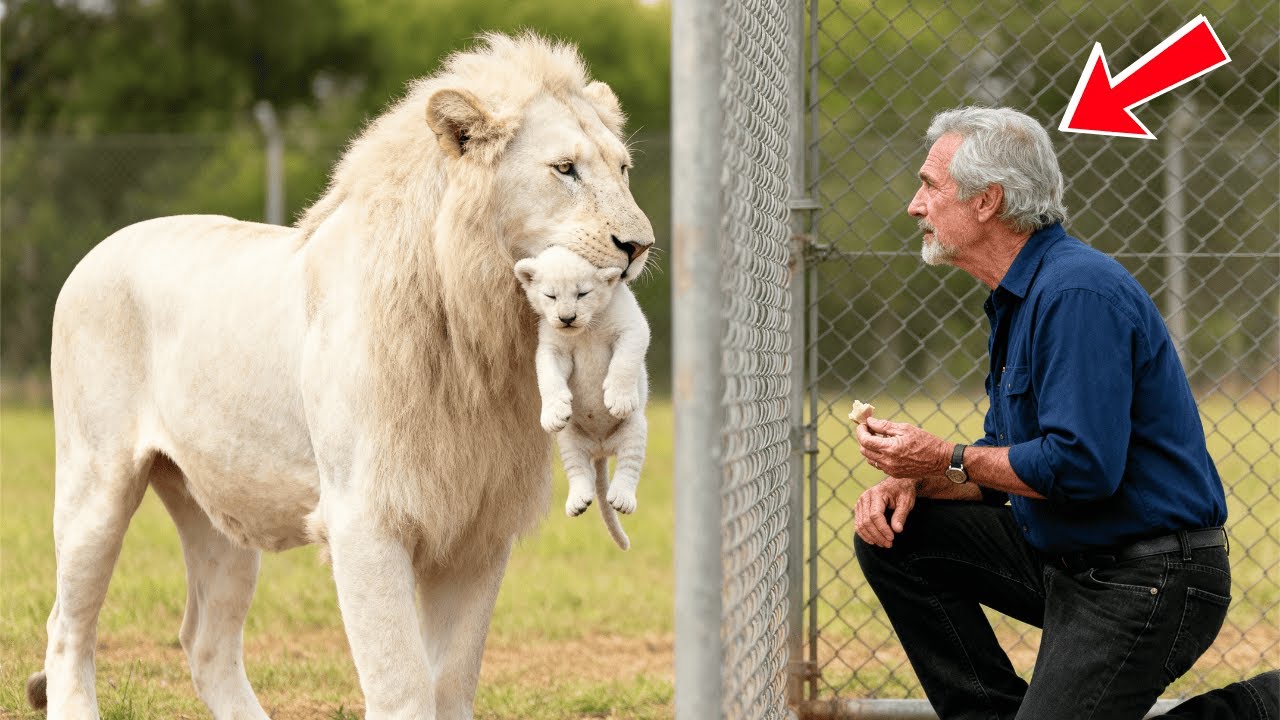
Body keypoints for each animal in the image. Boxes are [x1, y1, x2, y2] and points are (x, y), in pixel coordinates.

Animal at [27, 32, 654, 719]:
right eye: (565, 169)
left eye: (622, 169)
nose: (640, 246)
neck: (478, 334)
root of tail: (97, 250)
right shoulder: (364, 518)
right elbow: (402, 686)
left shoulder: (478, 527)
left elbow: (450, 683)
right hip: (95, 481)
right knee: (68, 628)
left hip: (217, 506)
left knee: (205, 640)